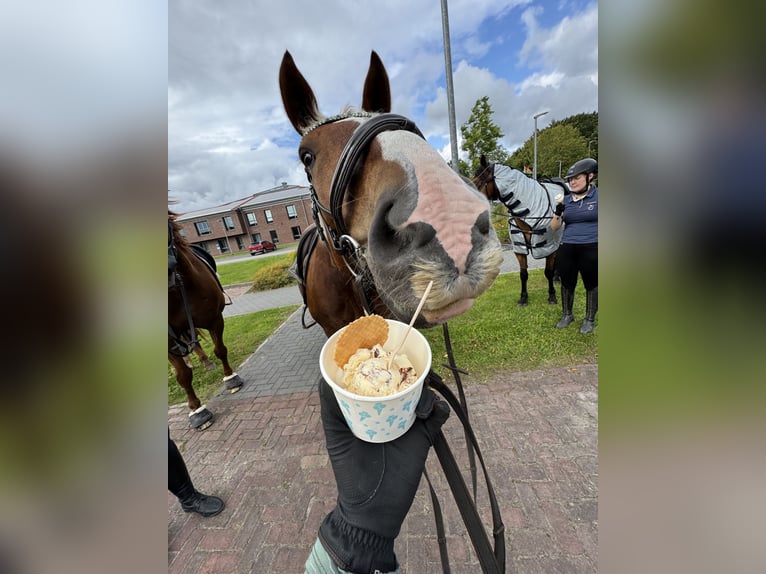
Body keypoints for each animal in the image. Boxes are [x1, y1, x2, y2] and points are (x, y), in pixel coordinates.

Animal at [168, 211, 243, 429]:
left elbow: (220, 350)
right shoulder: (168, 340)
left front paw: (231, 378)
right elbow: (183, 375)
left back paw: (206, 362)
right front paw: (196, 410)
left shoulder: (214, 319)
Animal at [472, 155, 568, 307]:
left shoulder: (549, 246)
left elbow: (548, 271)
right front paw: (523, 298)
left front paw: (552, 295)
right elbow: (523, 274)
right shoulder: (520, 248)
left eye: (477, 181)